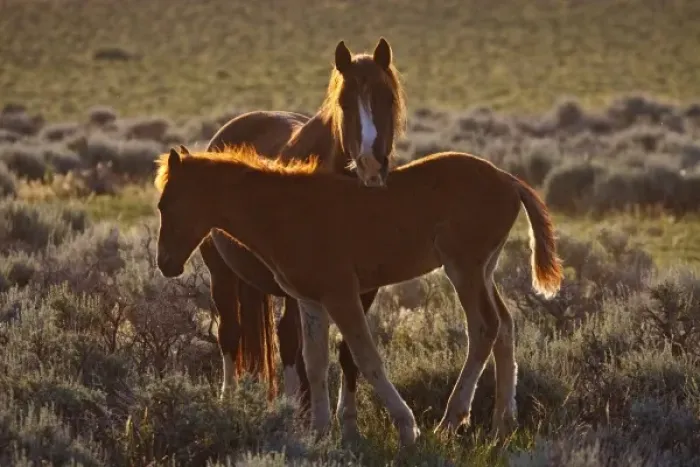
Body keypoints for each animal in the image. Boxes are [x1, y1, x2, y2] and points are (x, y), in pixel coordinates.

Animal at [154, 145, 564, 447]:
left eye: (166, 204)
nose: (165, 264)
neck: (284, 213)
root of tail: (508, 180)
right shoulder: (311, 301)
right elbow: (314, 362)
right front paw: (318, 432)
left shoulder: (342, 294)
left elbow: (366, 357)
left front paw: (406, 427)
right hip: (484, 269)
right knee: (506, 327)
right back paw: (501, 425)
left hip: (464, 269)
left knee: (484, 328)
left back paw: (450, 421)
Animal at [195, 38, 407, 435]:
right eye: (344, 102)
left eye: (388, 97)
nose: (370, 165)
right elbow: (299, 347)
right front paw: (306, 419)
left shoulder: (363, 290)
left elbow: (349, 351)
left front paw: (349, 425)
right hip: (223, 275)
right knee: (234, 334)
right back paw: (234, 402)